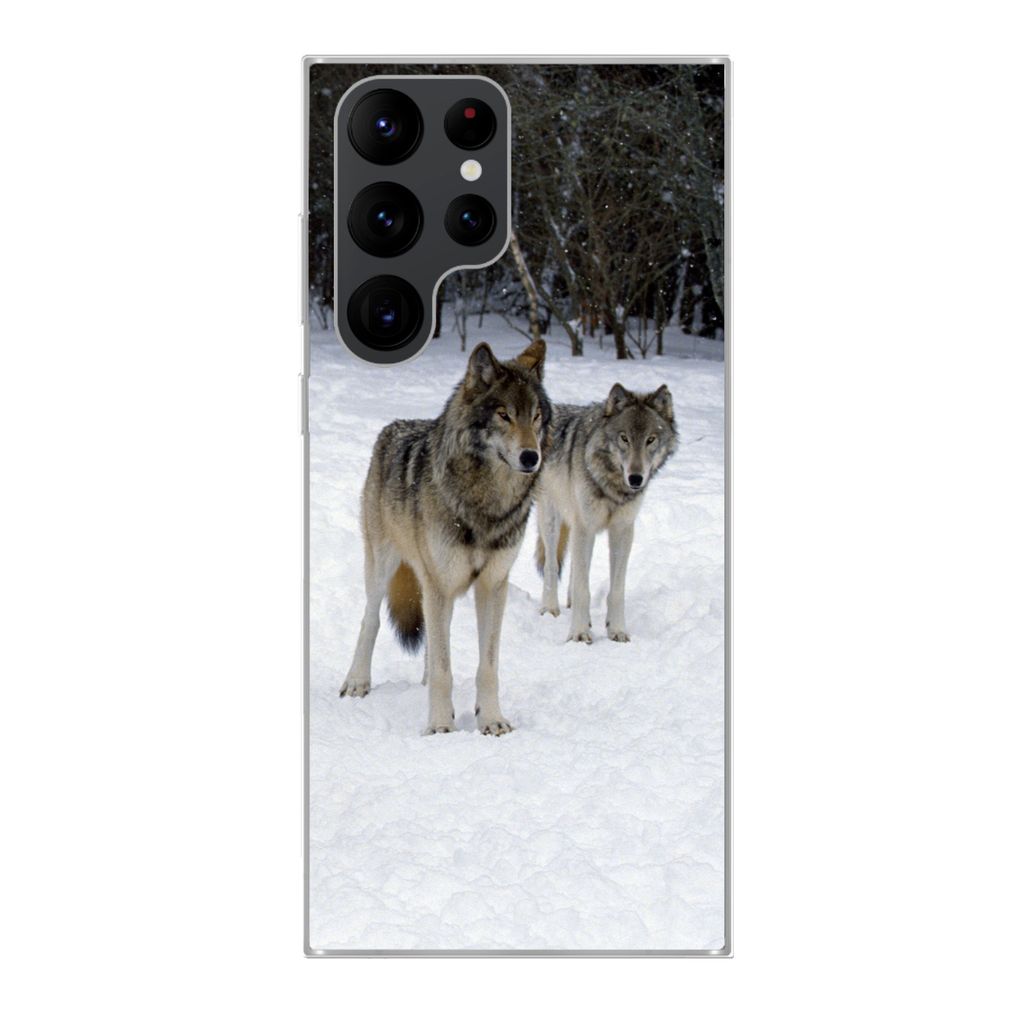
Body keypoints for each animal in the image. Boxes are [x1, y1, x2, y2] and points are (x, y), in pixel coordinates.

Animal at [341, 339, 550, 735]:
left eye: (536, 417)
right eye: (504, 415)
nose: (531, 457)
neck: (486, 504)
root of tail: (394, 426)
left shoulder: (492, 585)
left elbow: (486, 667)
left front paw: (491, 720)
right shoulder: (440, 583)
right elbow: (443, 669)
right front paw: (439, 726)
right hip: (385, 566)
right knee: (370, 620)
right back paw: (356, 682)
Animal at [535, 382, 677, 643]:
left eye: (650, 440)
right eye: (624, 438)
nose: (635, 478)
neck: (613, 486)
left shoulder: (622, 530)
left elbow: (616, 589)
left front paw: (617, 630)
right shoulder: (585, 526)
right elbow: (583, 588)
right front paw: (579, 633)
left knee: (574, 568)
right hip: (551, 519)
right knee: (551, 565)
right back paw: (550, 609)